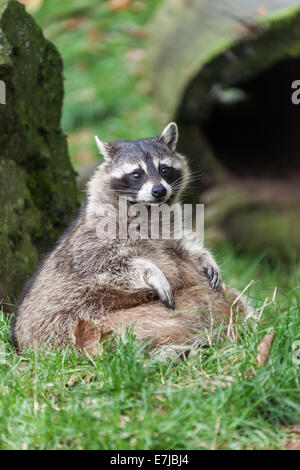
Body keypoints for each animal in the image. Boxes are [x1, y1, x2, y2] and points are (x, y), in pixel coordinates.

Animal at [11, 123, 246, 350]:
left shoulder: (170, 229)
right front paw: (150, 271)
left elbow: (184, 247)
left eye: (164, 169)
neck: (148, 209)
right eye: (136, 174)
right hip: (78, 325)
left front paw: (205, 257)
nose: (159, 190)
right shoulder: (94, 238)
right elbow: (109, 265)